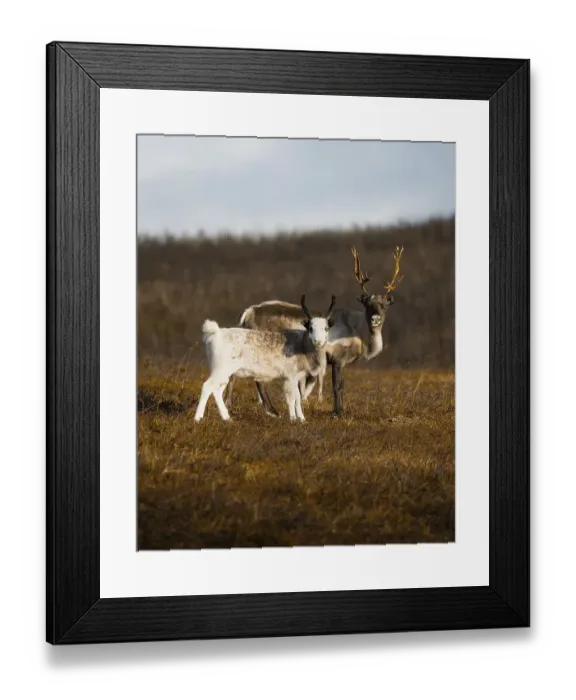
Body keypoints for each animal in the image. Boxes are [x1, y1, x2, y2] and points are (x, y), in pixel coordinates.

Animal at [194, 295, 336, 423]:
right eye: (310, 328)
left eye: (326, 328)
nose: (318, 341)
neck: (301, 345)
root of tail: (214, 333)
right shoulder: (291, 376)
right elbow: (294, 397)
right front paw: (297, 418)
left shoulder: (292, 378)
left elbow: (294, 397)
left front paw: (297, 418)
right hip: (221, 370)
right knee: (207, 386)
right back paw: (198, 418)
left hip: (224, 373)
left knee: (217, 390)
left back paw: (227, 418)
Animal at [225, 245, 404, 417]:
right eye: (367, 304)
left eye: (384, 305)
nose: (375, 319)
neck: (359, 332)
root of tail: (248, 313)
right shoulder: (338, 359)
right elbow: (337, 387)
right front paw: (337, 412)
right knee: (257, 378)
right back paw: (270, 410)